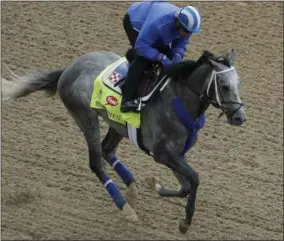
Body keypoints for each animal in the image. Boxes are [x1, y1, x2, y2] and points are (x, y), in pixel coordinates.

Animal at [2, 49, 246, 233]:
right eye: (224, 86)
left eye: (239, 84)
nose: (239, 117)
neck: (179, 99)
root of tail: (68, 69)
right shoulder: (163, 154)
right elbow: (194, 179)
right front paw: (185, 222)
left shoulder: (176, 154)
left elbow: (186, 185)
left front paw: (154, 184)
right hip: (85, 117)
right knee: (96, 162)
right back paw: (125, 207)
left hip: (116, 124)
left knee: (107, 150)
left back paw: (132, 189)